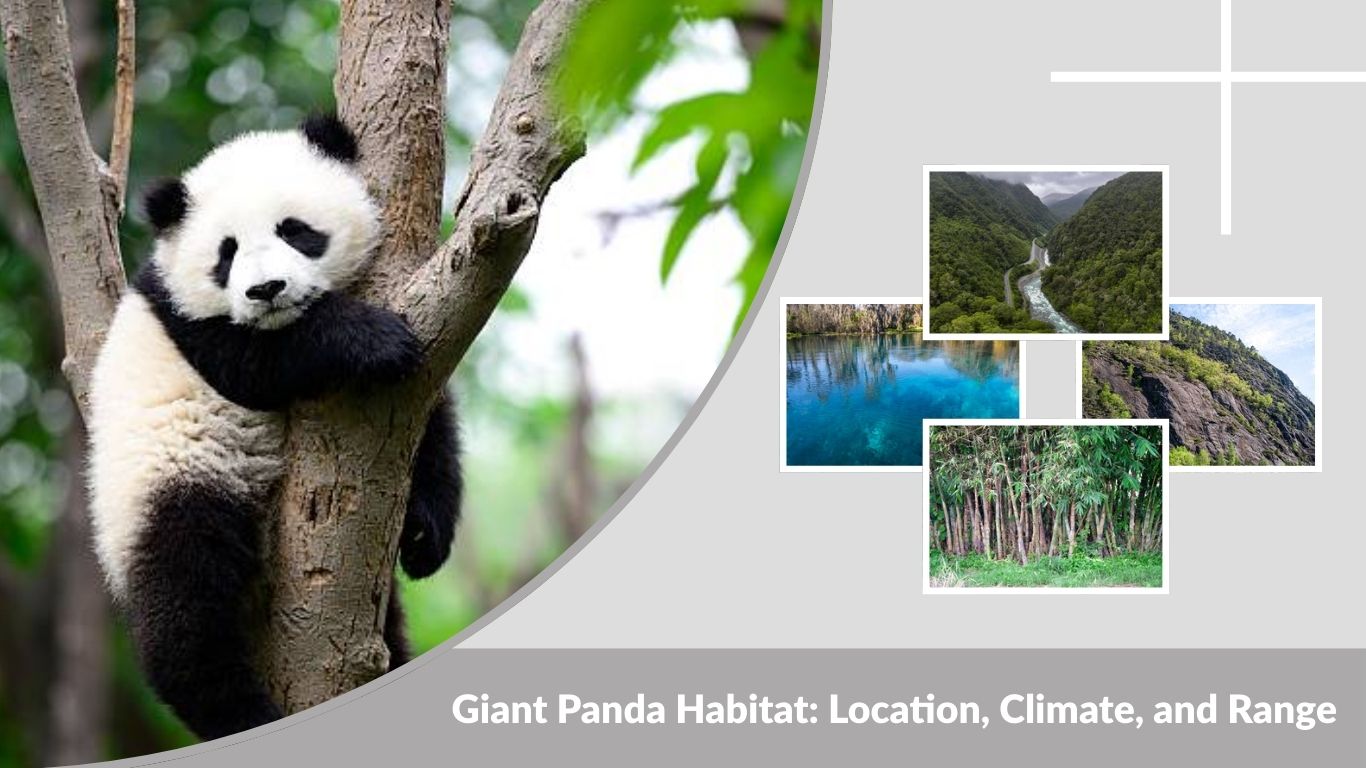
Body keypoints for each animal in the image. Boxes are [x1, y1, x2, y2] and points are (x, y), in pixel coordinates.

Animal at [87, 114, 461, 740]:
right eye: (226, 253)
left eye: (295, 231)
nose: (266, 291)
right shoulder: (191, 326)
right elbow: (261, 363)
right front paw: (371, 339)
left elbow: (429, 422)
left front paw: (422, 534)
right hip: (169, 480)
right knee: (185, 595)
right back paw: (239, 711)